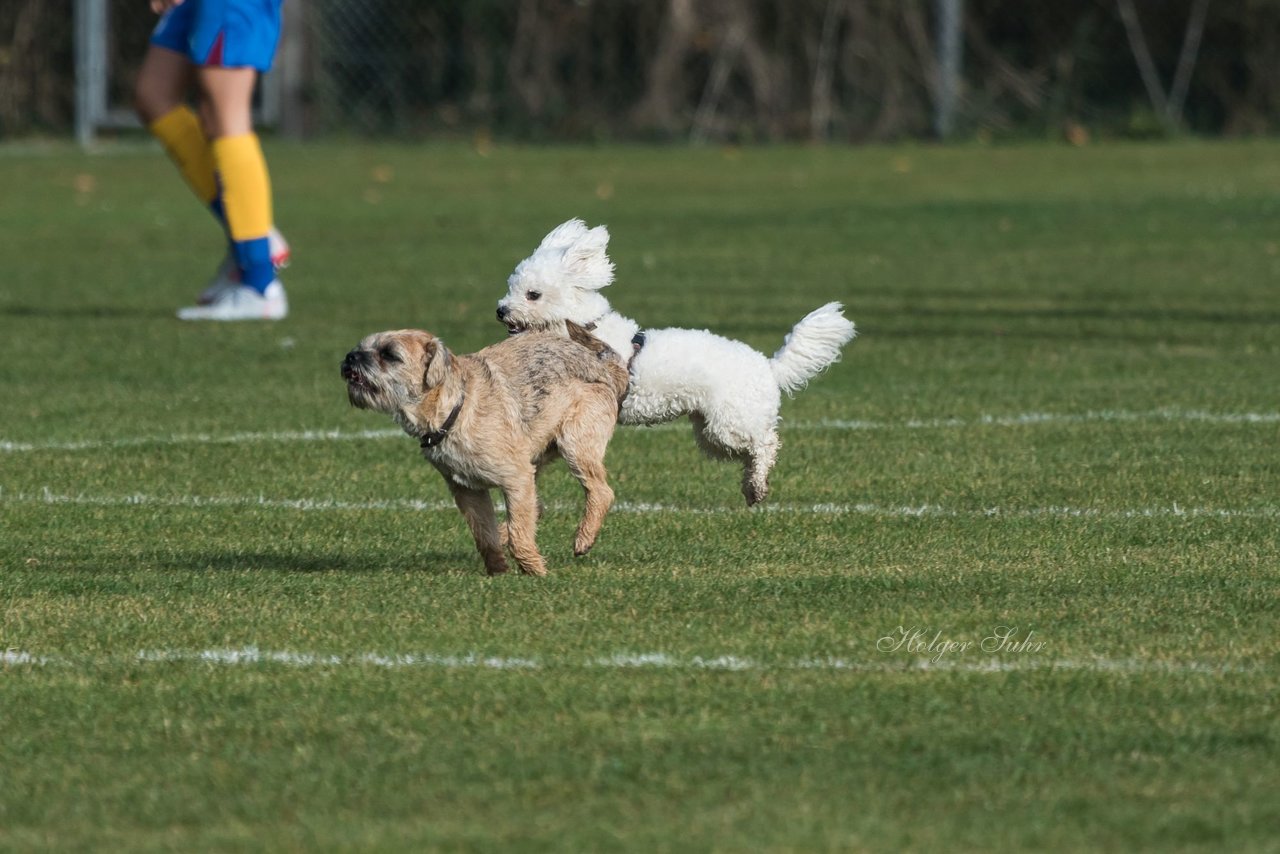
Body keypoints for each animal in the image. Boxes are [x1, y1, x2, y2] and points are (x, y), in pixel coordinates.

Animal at [343, 323, 627, 578]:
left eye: (390, 354)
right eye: (362, 347)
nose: (350, 356)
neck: (456, 407)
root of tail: (604, 368)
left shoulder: (516, 478)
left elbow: (519, 532)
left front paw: (535, 570)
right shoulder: (468, 491)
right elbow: (484, 535)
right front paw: (498, 569)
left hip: (575, 443)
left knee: (601, 492)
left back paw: (583, 538)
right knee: (536, 507)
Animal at [494, 217, 855, 507]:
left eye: (533, 295)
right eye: (511, 287)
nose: (501, 310)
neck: (586, 327)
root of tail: (768, 367)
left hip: (730, 423)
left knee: (766, 444)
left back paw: (757, 485)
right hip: (713, 433)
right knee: (749, 453)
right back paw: (751, 488)